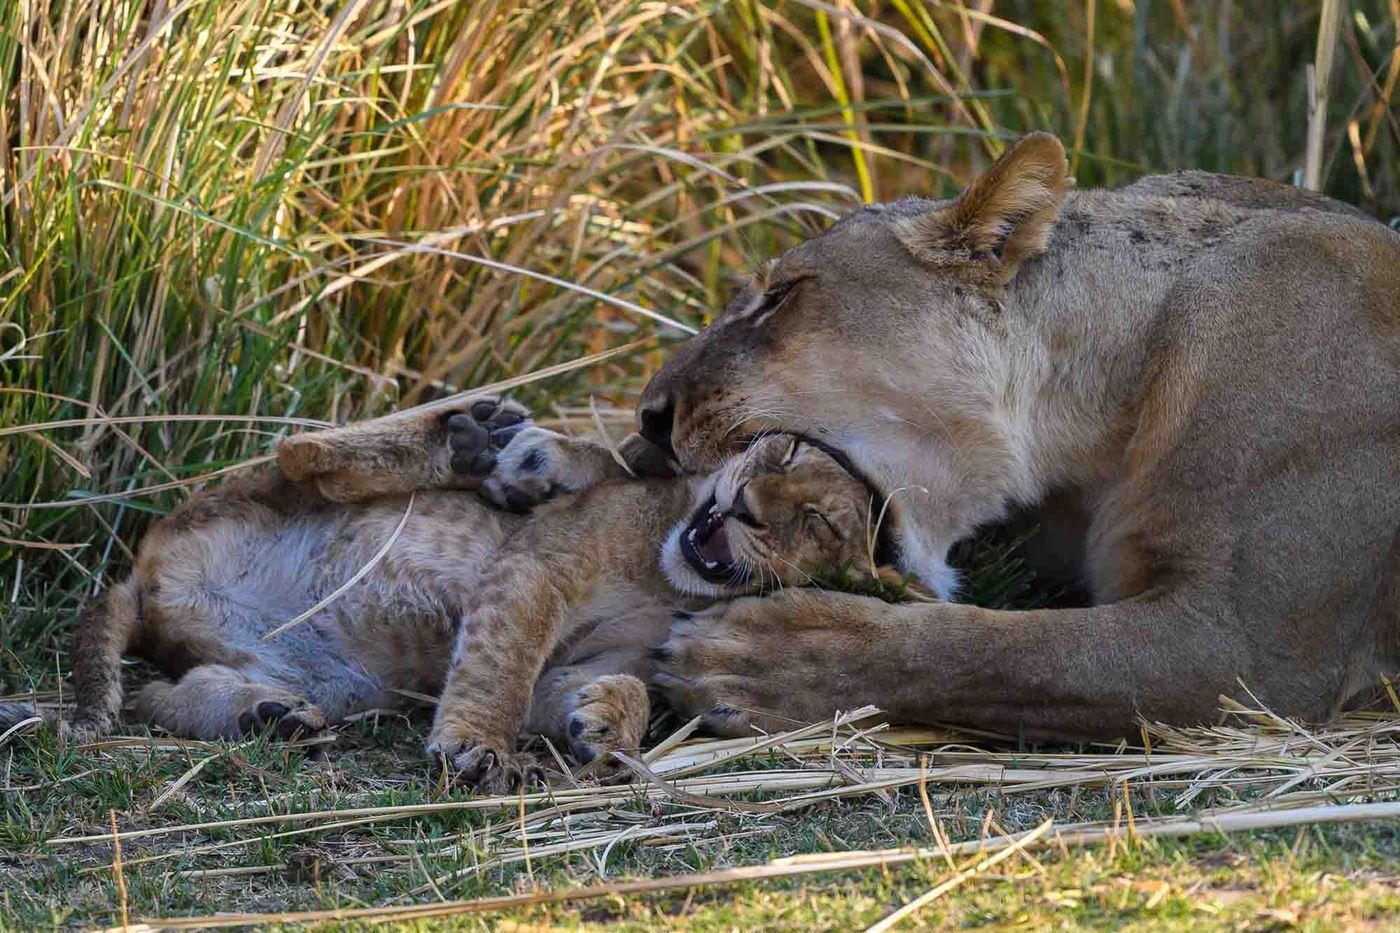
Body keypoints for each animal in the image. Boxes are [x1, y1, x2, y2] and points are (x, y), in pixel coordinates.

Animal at [1, 400, 882, 790]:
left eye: (817, 524)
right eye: (777, 452)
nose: (750, 512)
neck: (667, 577)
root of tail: (147, 575)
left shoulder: (591, 652)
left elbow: (603, 682)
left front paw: (604, 724)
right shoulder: (537, 567)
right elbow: (502, 661)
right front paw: (475, 747)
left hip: (335, 679)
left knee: (160, 696)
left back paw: (267, 716)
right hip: (253, 489)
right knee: (299, 454)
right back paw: (470, 437)